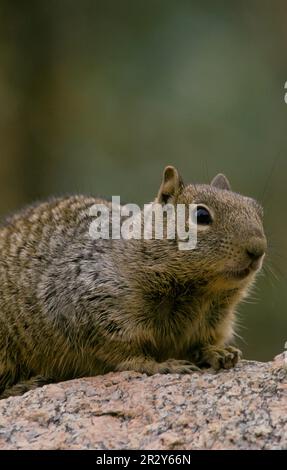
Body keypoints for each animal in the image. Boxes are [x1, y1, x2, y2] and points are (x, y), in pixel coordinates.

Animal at [0, 165, 268, 396]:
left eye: (258, 210)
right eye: (201, 215)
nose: (258, 249)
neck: (201, 292)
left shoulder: (214, 319)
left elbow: (202, 343)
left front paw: (218, 352)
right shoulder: (99, 310)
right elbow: (125, 352)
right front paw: (163, 365)